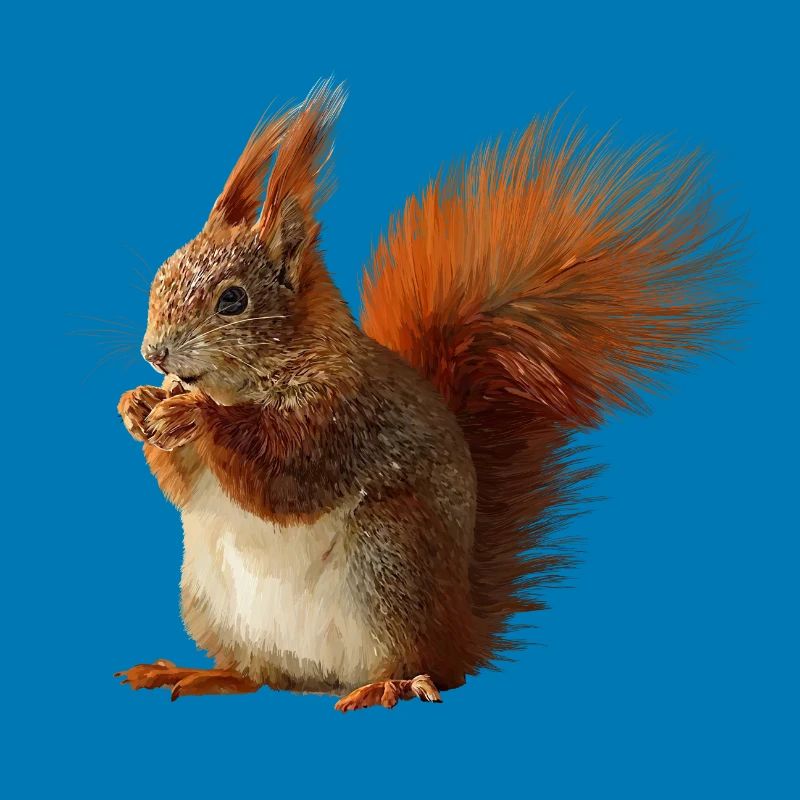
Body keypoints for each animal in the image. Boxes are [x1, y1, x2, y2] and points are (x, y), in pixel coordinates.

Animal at [115, 81, 739, 710]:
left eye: (233, 300)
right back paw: (202, 674)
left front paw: (195, 415)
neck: (247, 384)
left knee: (426, 667)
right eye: (163, 273)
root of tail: (460, 629)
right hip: (211, 601)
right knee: (261, 674)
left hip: (389, 559)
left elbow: (282, 474)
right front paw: (137, 405)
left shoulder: (342, 418)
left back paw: (390, 684)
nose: (154, 353)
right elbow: (183, 486)